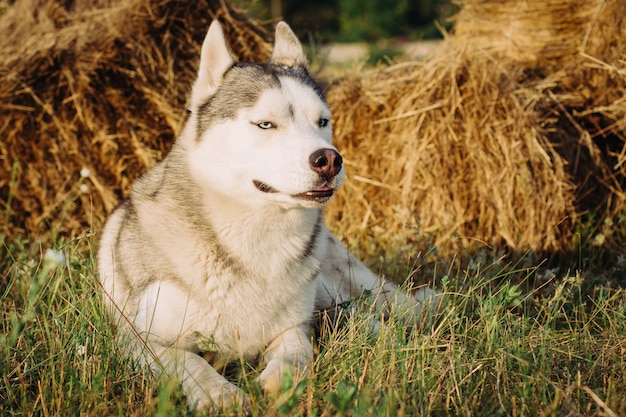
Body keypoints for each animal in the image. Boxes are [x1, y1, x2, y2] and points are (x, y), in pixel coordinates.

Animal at [98, 21, 434, 412]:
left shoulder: (293, 327)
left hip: (352, 287)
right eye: (265, 125)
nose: (330, 160)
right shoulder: (138, 339)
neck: (255, 239)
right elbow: (187, 360)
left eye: (322, 121)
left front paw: (281, 382)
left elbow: (296, 353)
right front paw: (219, 394)